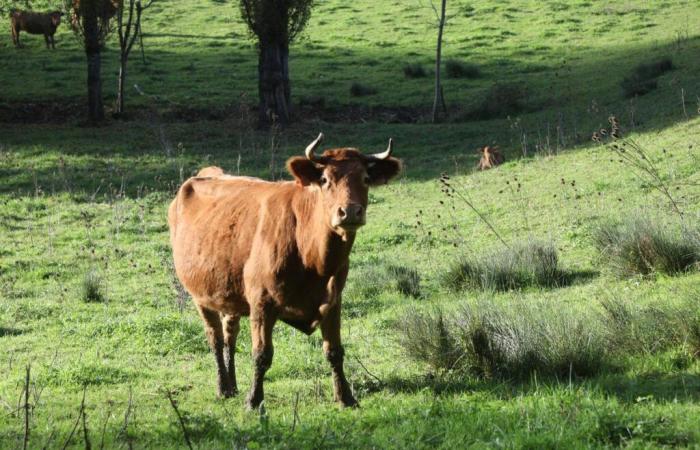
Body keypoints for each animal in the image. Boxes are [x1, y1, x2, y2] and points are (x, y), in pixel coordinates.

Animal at [167, 133, 402, 408]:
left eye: (365, 178)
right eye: (325, 180)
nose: (350, 212)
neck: (314, 259)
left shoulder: (334, 300)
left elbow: (334, 351)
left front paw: (345, 397)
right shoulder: (262, 302)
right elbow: (261, 355)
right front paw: (254, 401)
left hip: (228, 293)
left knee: (229, 335)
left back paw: (232, 385)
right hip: (200, 296)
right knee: (214, 338)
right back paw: (223, 387)